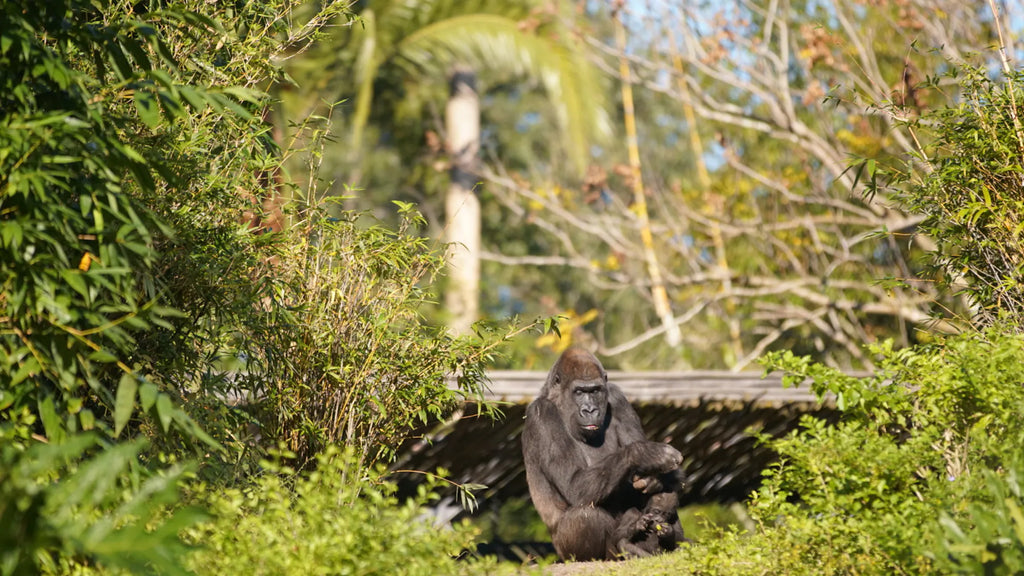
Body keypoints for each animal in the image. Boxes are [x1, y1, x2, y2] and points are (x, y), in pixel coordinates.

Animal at [520, 348, 688, 557]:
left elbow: (670, 479)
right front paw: (647, 454)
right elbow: (574, 485)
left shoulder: (617, 398)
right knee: (585, 516)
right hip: (565, 552)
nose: (590, 410)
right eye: (579, 392)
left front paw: (653, 479)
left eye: (595, 391)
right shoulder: (541, 414)